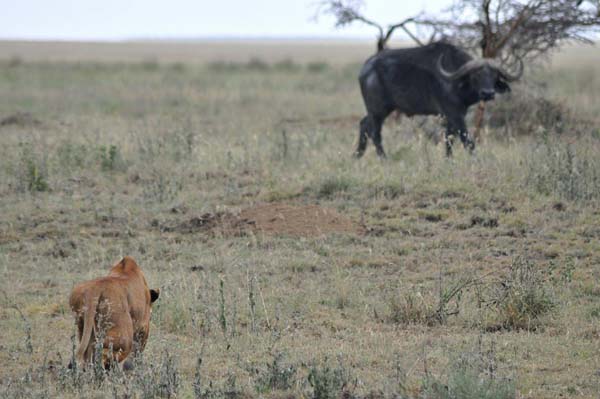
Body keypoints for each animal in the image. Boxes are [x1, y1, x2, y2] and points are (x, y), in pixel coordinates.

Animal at [356, 42, 520, 158]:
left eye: (494, 76)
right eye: (476, 75)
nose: (488, 93)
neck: (455, 80)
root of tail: (365, 69)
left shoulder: (452, 116)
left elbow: (449, 139)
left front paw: (448, 160)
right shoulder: (454, 114)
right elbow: (467, 140)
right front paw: (476, 160)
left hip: (379, 110)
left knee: (364, 124)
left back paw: (357, 155)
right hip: (378, 110)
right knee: (375, 133)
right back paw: (384, 159)